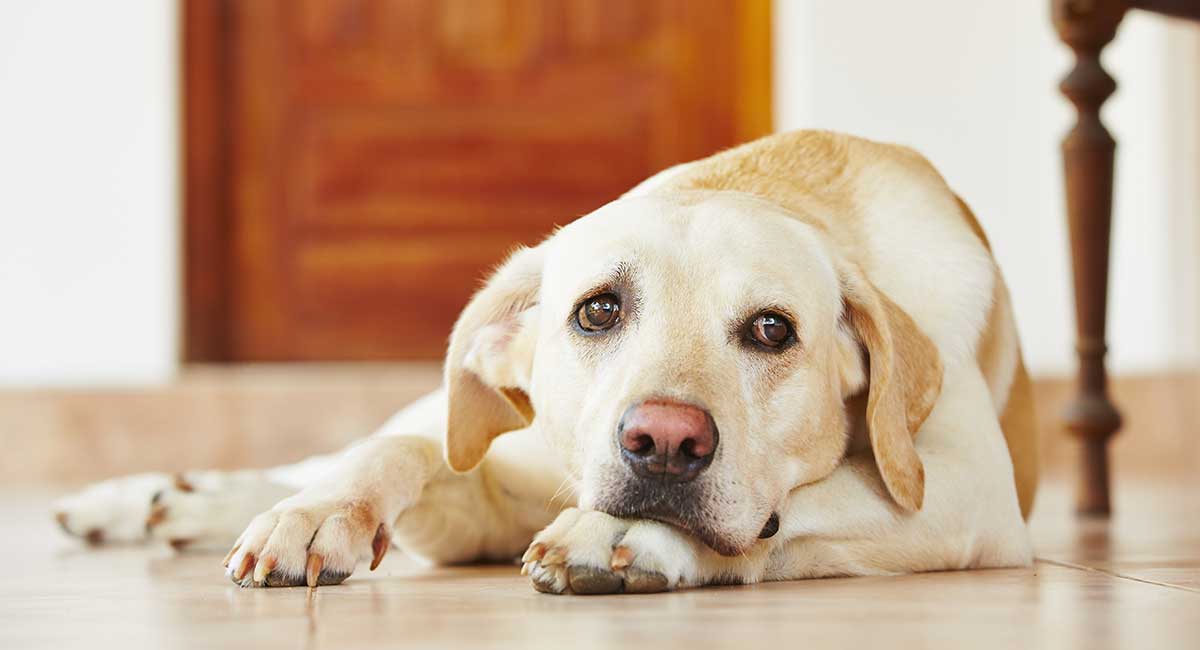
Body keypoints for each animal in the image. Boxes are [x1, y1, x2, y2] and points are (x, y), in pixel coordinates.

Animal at [54, 131, 1032, 597]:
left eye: (771, 331)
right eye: (598, 310)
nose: (664, 443)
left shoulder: (967, 491)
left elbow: (801, 507)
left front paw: (629, 537)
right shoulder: (468, 475)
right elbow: (395, 454)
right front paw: (318, 517)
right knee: (351, 446)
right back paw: (154, 500)